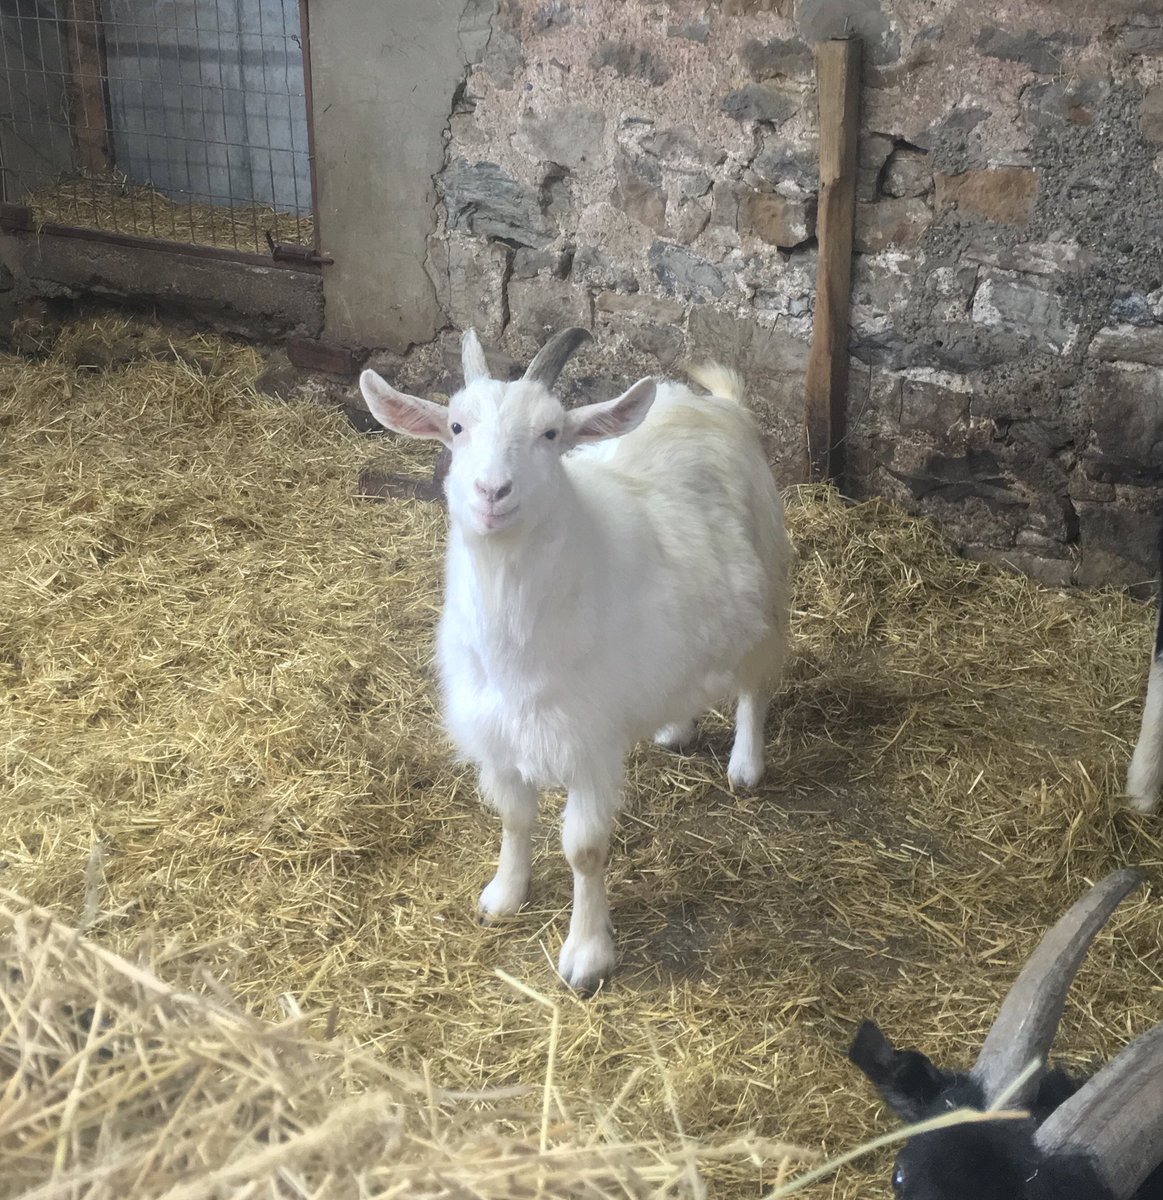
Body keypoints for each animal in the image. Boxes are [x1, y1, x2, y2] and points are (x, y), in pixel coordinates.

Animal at [357, 327, 791, 993]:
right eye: (456, 426)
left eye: (551, 433)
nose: (492, 492)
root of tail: (718, 405)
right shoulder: (496, 732)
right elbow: (513, 818)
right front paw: (504, 894)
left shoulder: (587, 745)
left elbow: (584, 850)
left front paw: (586, 955)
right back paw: (675, 726)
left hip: (768, 588)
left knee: (756, 682)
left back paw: (746, 763)